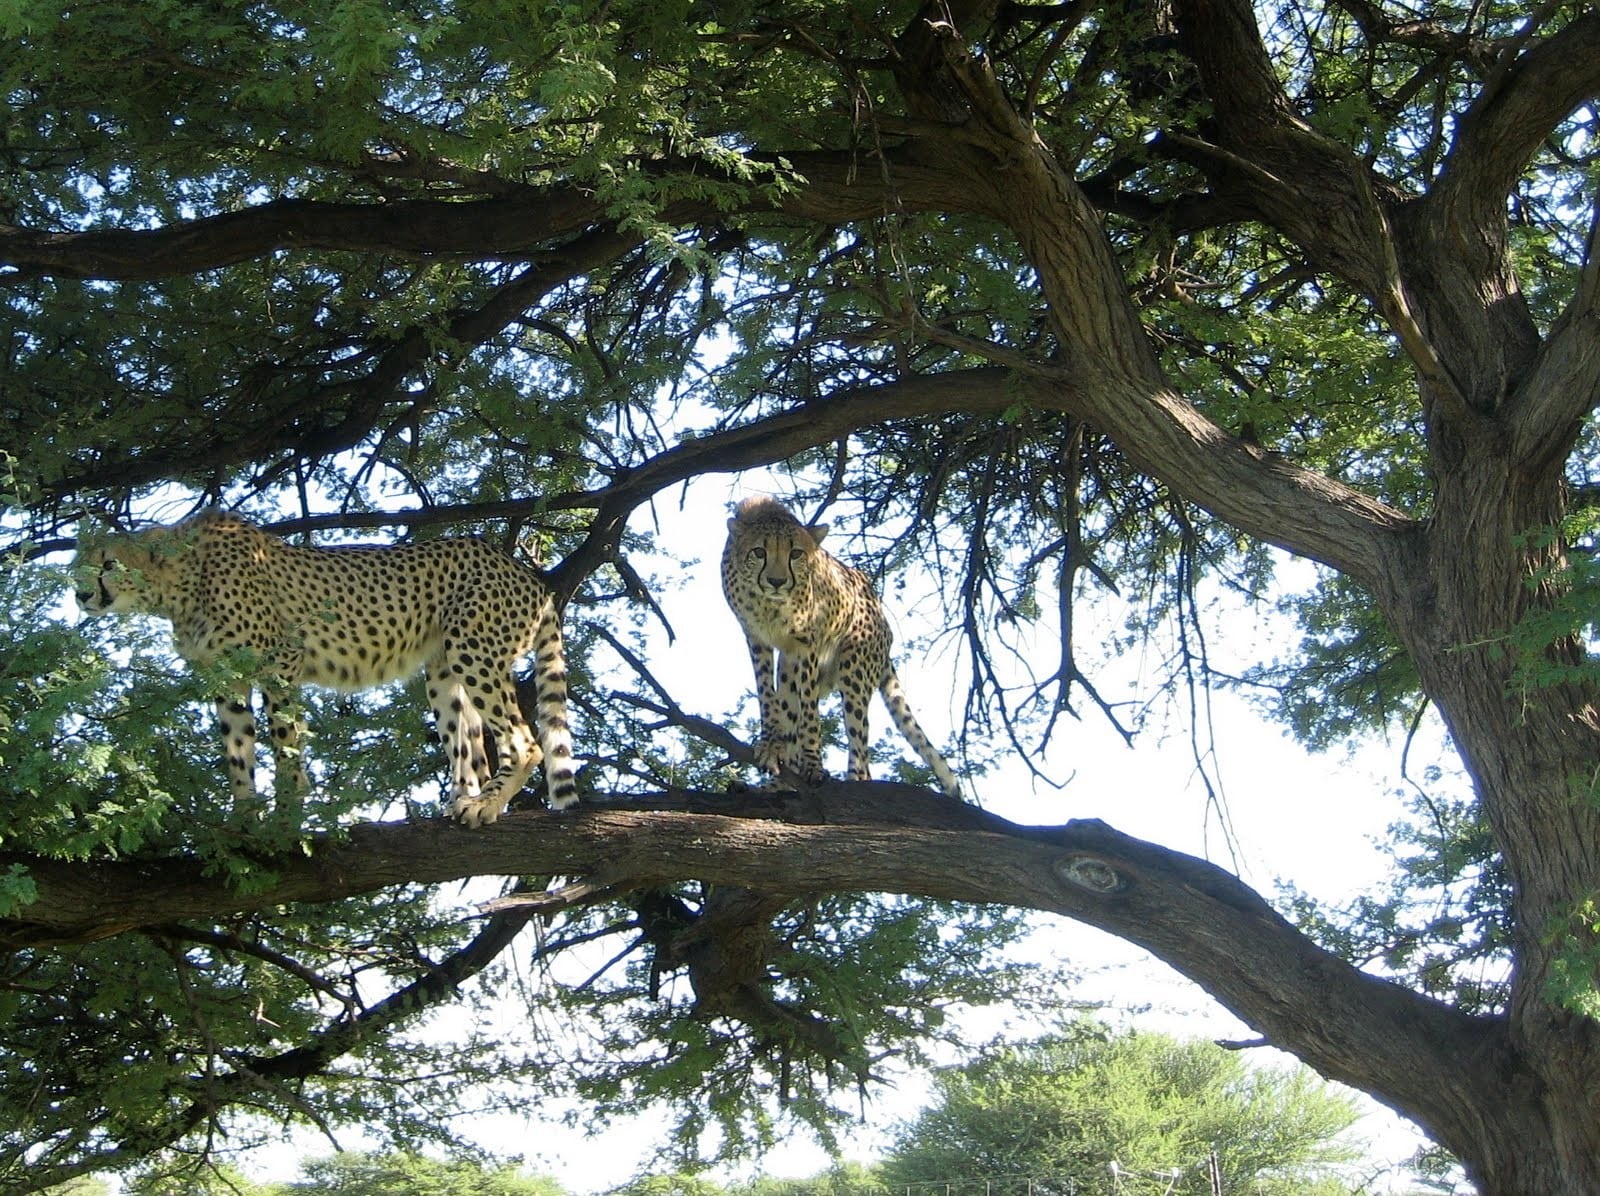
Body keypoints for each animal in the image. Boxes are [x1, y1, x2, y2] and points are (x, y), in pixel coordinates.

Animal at [75, 508, 579, 825]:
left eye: (109, 564)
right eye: (77, 565)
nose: (81, 594)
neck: (180, 580)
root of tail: (526, 573)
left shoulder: (280, 660)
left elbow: (284, 744)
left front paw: (287, 812)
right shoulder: (227, 677)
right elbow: (238, 750)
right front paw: (243, 819)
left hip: (473, 649)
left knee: (523, 741)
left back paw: (484, 804)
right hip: (443, 671)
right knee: (469, 747)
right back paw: (466, 798)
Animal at [723, 489, 960, 799]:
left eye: (796, 553)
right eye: (759, 552)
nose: (776, 581)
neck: (770, 604)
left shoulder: (807, 642)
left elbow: (810, 713)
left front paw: (813, 764)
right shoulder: (756, 638)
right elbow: (767, 696)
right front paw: (772, 746)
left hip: (854, 667)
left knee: (860, 749)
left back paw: (853, 783)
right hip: (789, 667)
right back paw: (773, 786)